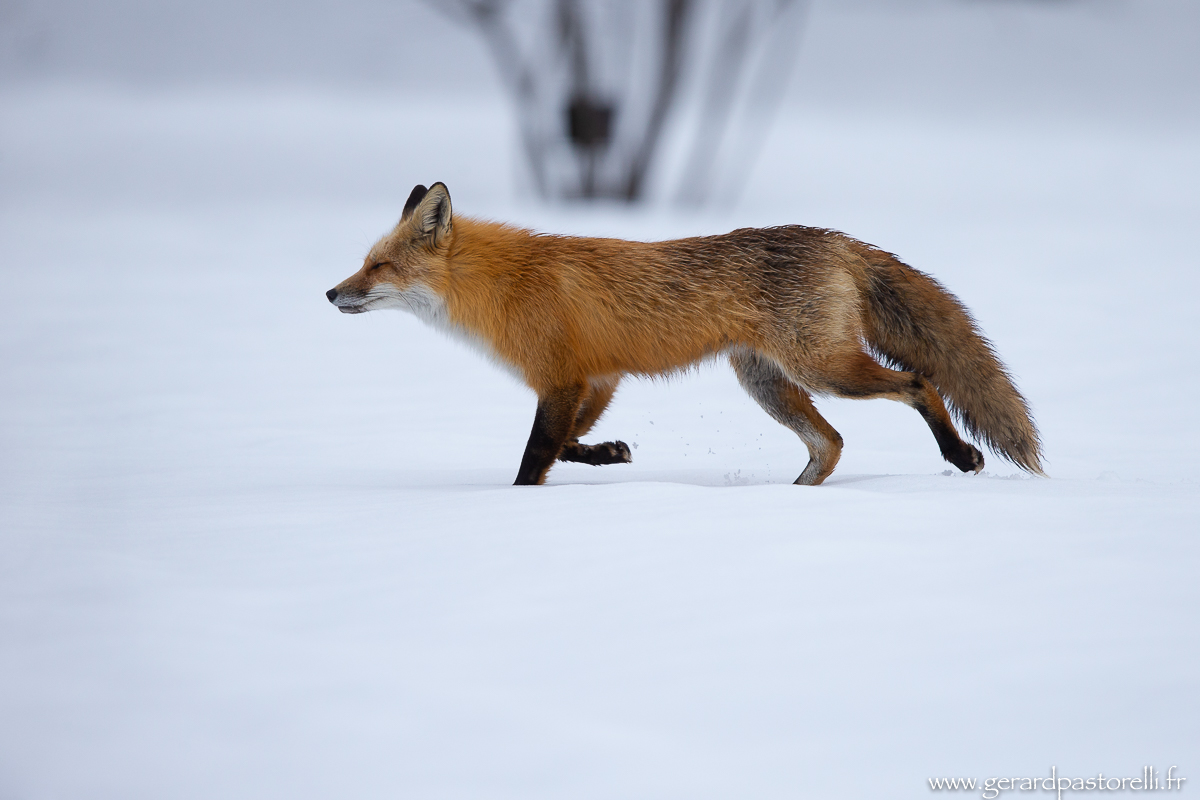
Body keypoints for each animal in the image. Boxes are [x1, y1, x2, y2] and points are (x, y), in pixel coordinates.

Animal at [327, 182, 1043, 486]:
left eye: (378, 267)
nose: (331, 294)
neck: (507, 285)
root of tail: (835, 238)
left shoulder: (561, 381)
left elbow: (535, 457)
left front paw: (522, 504)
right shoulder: (598, 378)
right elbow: (569, 444)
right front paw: (610, 454)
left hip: (823, 368)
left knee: (919, 383)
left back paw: (960, 456)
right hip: (766, 382)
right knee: (832, 443)